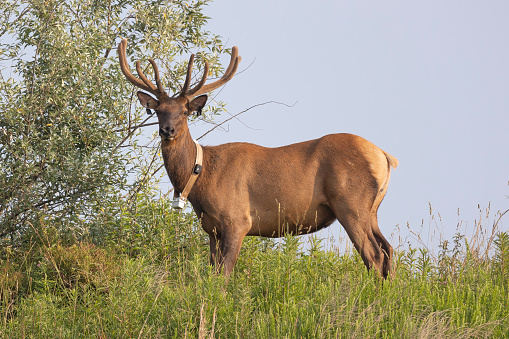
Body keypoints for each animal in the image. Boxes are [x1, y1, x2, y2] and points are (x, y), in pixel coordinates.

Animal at [118, 39, 396, 278]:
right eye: (158, 110)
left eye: (185, 112)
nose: (167, 130)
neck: (202, 178)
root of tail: (385, 157)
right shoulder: (212, 229)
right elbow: (212, 274)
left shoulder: (237, 220)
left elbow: (224, 275)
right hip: (371, 209)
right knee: (388, 250)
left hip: (350, 203)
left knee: (374, 256)